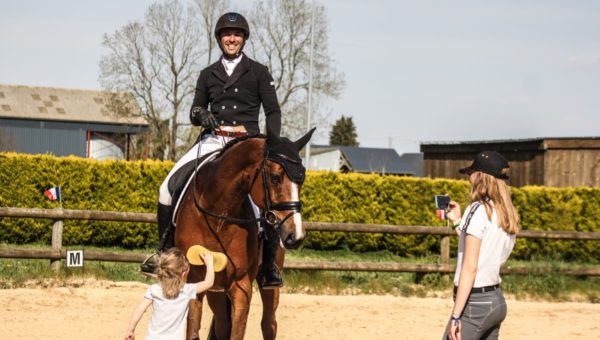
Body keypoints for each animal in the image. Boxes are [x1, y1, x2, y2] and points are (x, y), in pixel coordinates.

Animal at [173, 128, 314, 340]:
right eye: (275, 177)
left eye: (302, 180)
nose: (295, 236)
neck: (217, 216)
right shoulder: (195, 282)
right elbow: (193, 331)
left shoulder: (241, 287)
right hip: (216, 290)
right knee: (222, 325)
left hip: (268, 287)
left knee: (268, 324)